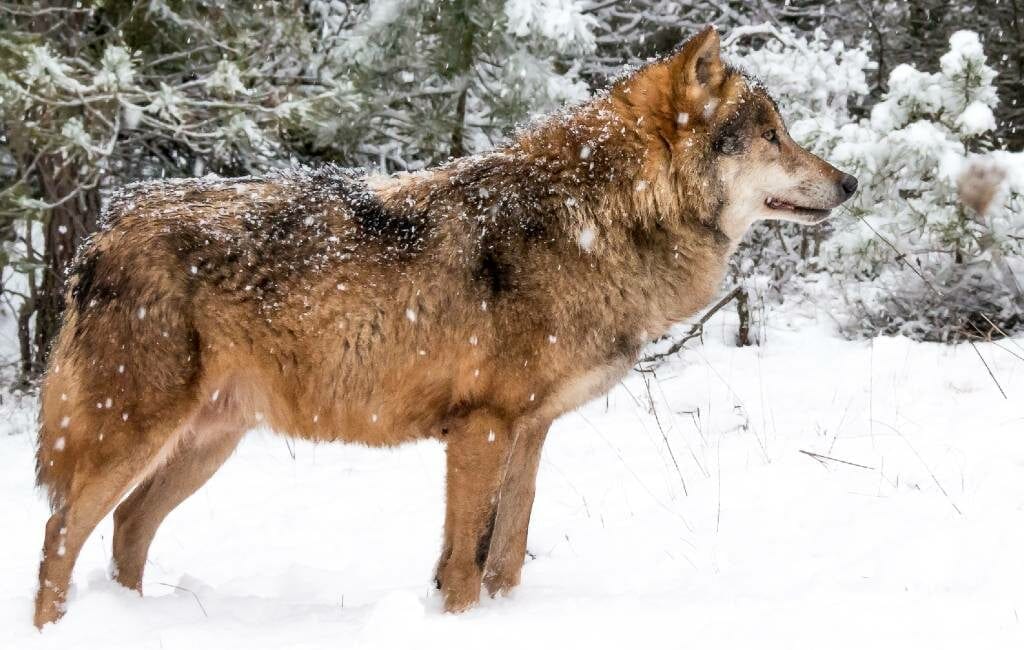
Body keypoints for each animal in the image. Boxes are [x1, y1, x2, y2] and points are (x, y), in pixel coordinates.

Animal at [32, 28, 856, 626]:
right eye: (772, 135)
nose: (850, 182)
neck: (593, 219)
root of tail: (101, 234)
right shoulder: (480, 427)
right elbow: (464, 564)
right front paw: (461, 623)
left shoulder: (531, 431)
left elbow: (508, 554)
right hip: (133, 437)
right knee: (60, 538)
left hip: (207, 444)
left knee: (127, 529)